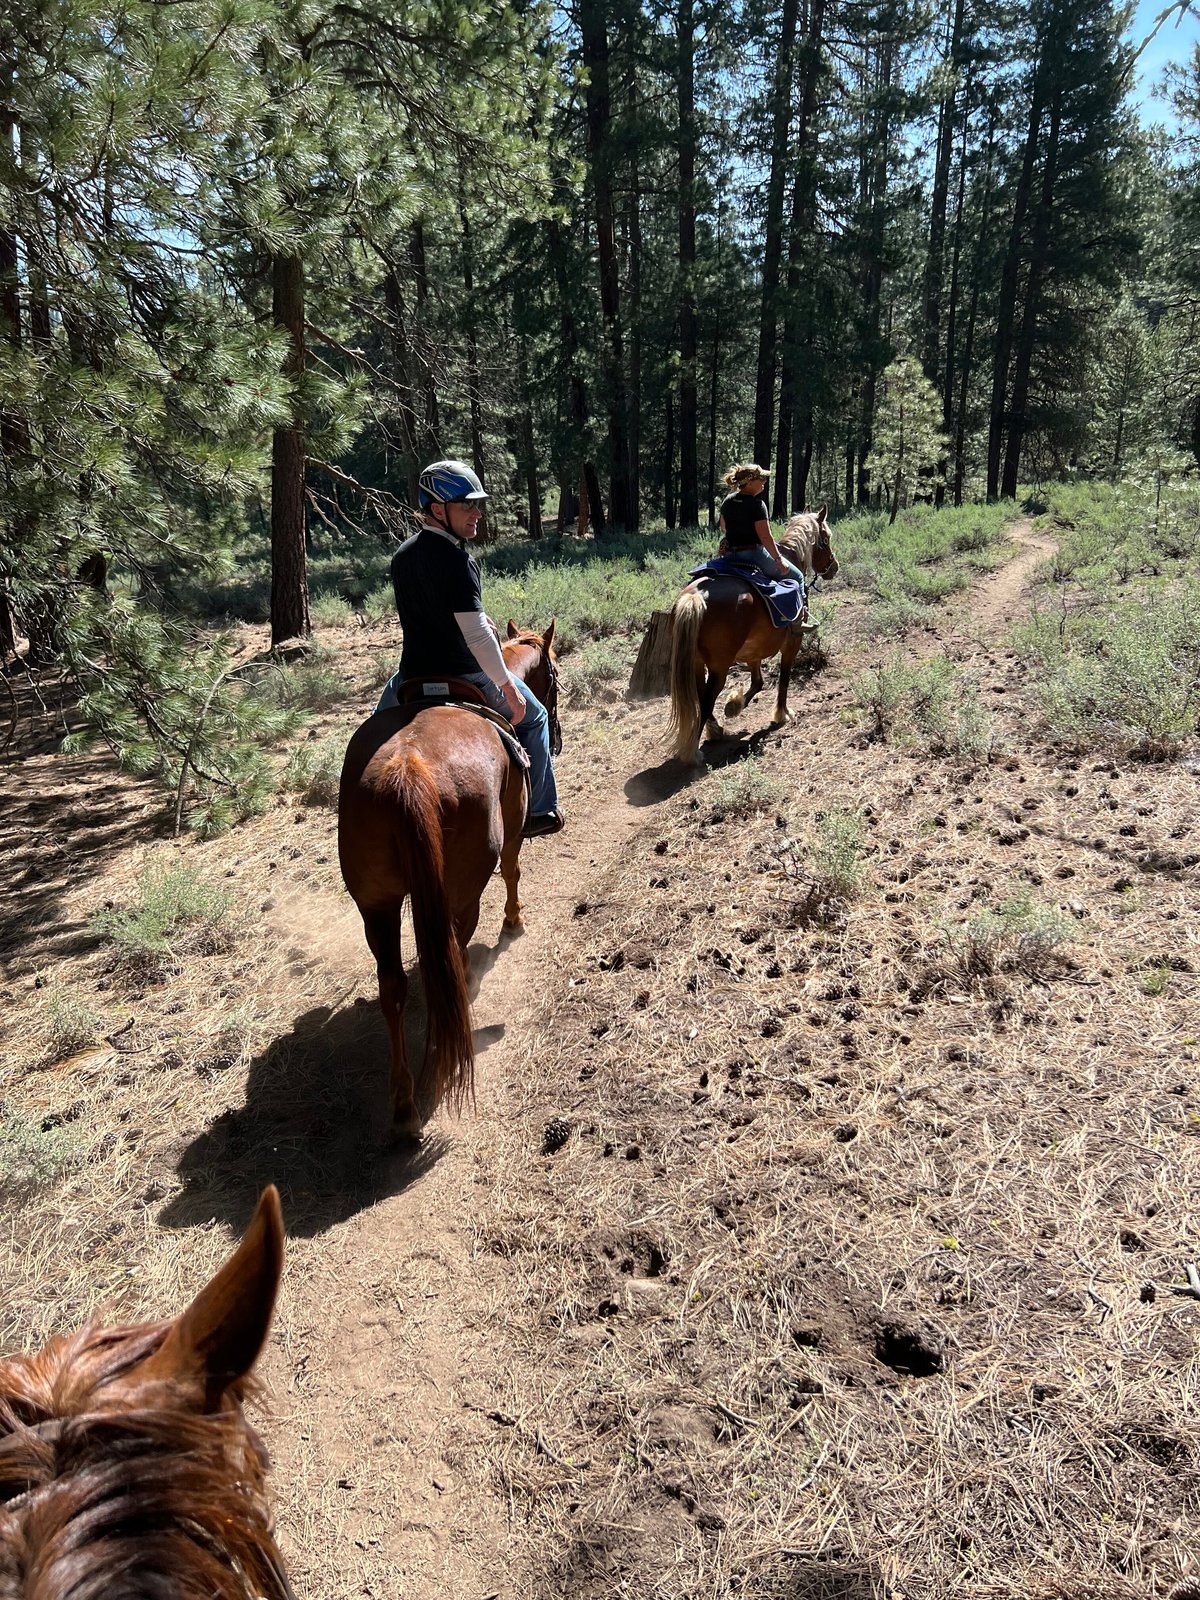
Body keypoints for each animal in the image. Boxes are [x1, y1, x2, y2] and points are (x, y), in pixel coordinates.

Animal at [340, 614, 563, 1139]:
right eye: (555, 676)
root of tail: (406, 768)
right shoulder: (513, 826)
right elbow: (513, 870)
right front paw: (514, 922)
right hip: (459, 895)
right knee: (453, 964)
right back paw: (442, 1066)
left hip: (375, 905)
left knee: (396, 987)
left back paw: (404, 1105)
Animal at [662, 505, 838, 768]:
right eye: (825, 539)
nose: (833, 567)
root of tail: (695, 596)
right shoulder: (793, 643)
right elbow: (784, 679)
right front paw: (781, 714)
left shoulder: (754, 651)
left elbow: (758, 682)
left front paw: (735, 705)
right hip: (719, 667)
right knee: (706, 699)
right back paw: (693, 752)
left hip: (696, 662)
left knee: (702, 696)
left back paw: (715, 730)